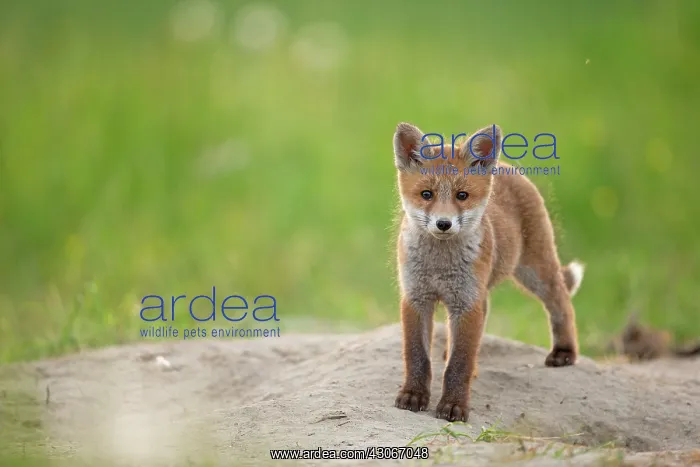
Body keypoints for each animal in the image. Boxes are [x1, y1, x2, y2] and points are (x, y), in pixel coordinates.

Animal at [392, 122, 583, 422]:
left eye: (462, 195)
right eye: (426, 194)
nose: (443, 224)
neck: (439, 265)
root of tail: (504, 166)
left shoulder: (466, 303)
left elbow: (459, 363)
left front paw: (454, 405)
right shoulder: (416, 298)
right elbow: (417, 356)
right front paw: (413, 395)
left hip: (533, 272)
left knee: (562, 303)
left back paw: (564, 352)